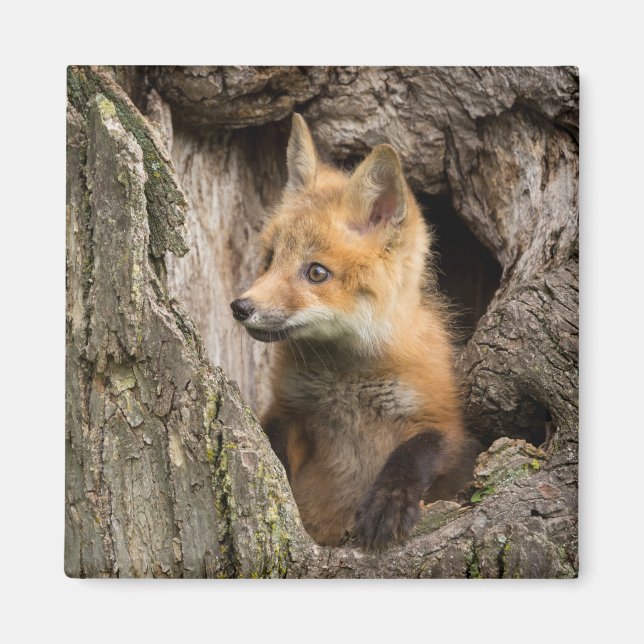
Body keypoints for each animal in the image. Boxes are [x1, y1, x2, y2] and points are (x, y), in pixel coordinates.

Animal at [230, 114, 470, 550]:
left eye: (316, 272)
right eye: (270, 258)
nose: (240, 307)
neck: (346, 381)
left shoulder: (444, 419)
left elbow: (416, 452)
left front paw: (389, 502)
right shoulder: (290, 410)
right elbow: (274, 445)